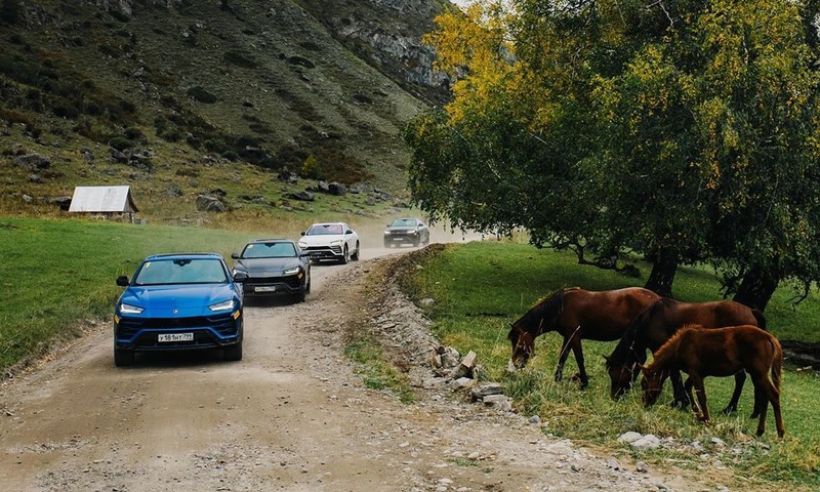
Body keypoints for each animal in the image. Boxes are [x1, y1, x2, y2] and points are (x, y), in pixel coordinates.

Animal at [506, 288, 660, 388]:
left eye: (518, 342)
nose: (516, 363)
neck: (561, 307)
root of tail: (658, 299)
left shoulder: (575, 337)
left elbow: (579, 359)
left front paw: (584, 382)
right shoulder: (568, 337)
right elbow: (563, 357)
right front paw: (558, 379)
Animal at [604, 296, 768, 416]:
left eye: (616, 374)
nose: (614, 398)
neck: (652, 318)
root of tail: (751, 311)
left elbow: (673, 374)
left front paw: (680, 401)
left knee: (740, 379)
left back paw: (730, 409)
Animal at [640, 324, 780, 436]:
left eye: (644, 384)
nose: (645, 404)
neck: (680, 345)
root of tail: (770, 338)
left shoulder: (695, 372)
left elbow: (701, 395)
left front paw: (706, 419)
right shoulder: (699, 374)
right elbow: (688, 387)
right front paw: (698, 414)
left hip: (759, 373)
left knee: (773, 394)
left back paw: (780, 433)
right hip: (757, 375)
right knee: (766, 397)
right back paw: (760, 431)